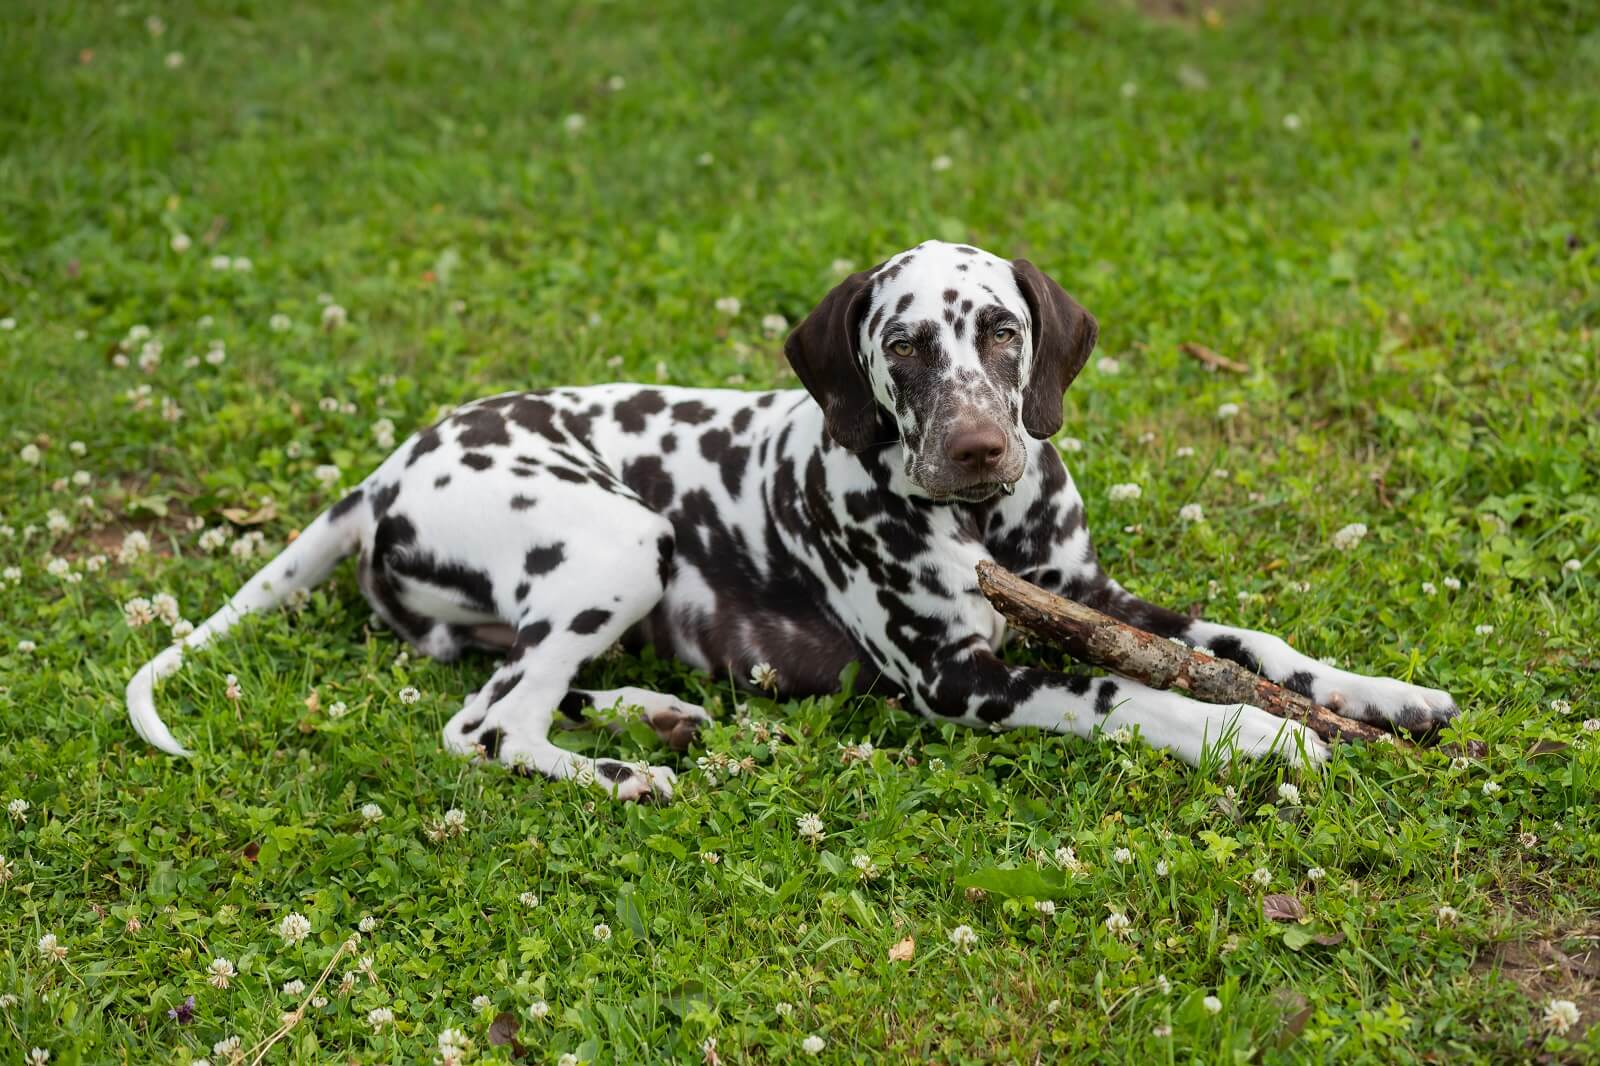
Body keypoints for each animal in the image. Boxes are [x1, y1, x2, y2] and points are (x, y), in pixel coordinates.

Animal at [124, 240, 1459, 797]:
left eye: (1002, 332)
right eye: (905, 345)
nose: (978, 451)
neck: (985, 532)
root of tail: (394, 462)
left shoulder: (1090, 598)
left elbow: (1247, 641)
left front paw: (1380, 693)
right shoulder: (966, 680)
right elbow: (1132, 694)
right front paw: (1255, 736)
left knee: (512, 686)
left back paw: (651, 715)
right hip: (624, 539)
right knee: (486, 727)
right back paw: (622, 771)